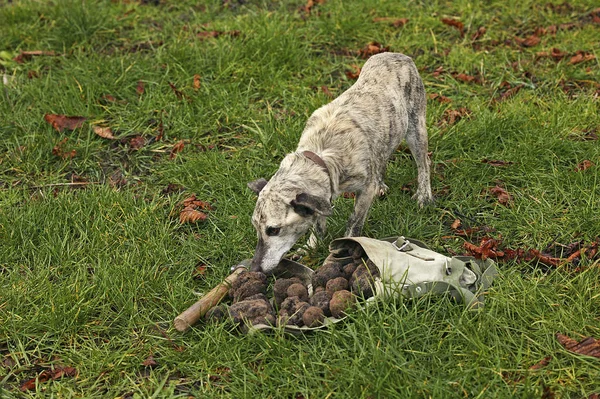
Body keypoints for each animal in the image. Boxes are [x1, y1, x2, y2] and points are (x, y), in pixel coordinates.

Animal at [247, 52, 432, 276]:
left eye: (273, 230)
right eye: (256, 227)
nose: (254, 268)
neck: (320, 156)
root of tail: (398, 55)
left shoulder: (364, 190)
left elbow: (354, 221)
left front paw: (348, 245)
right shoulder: (322, 196)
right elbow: (318, 223)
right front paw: (311, 247)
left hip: (416, 129)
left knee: (424, 162)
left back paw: (424, 195)